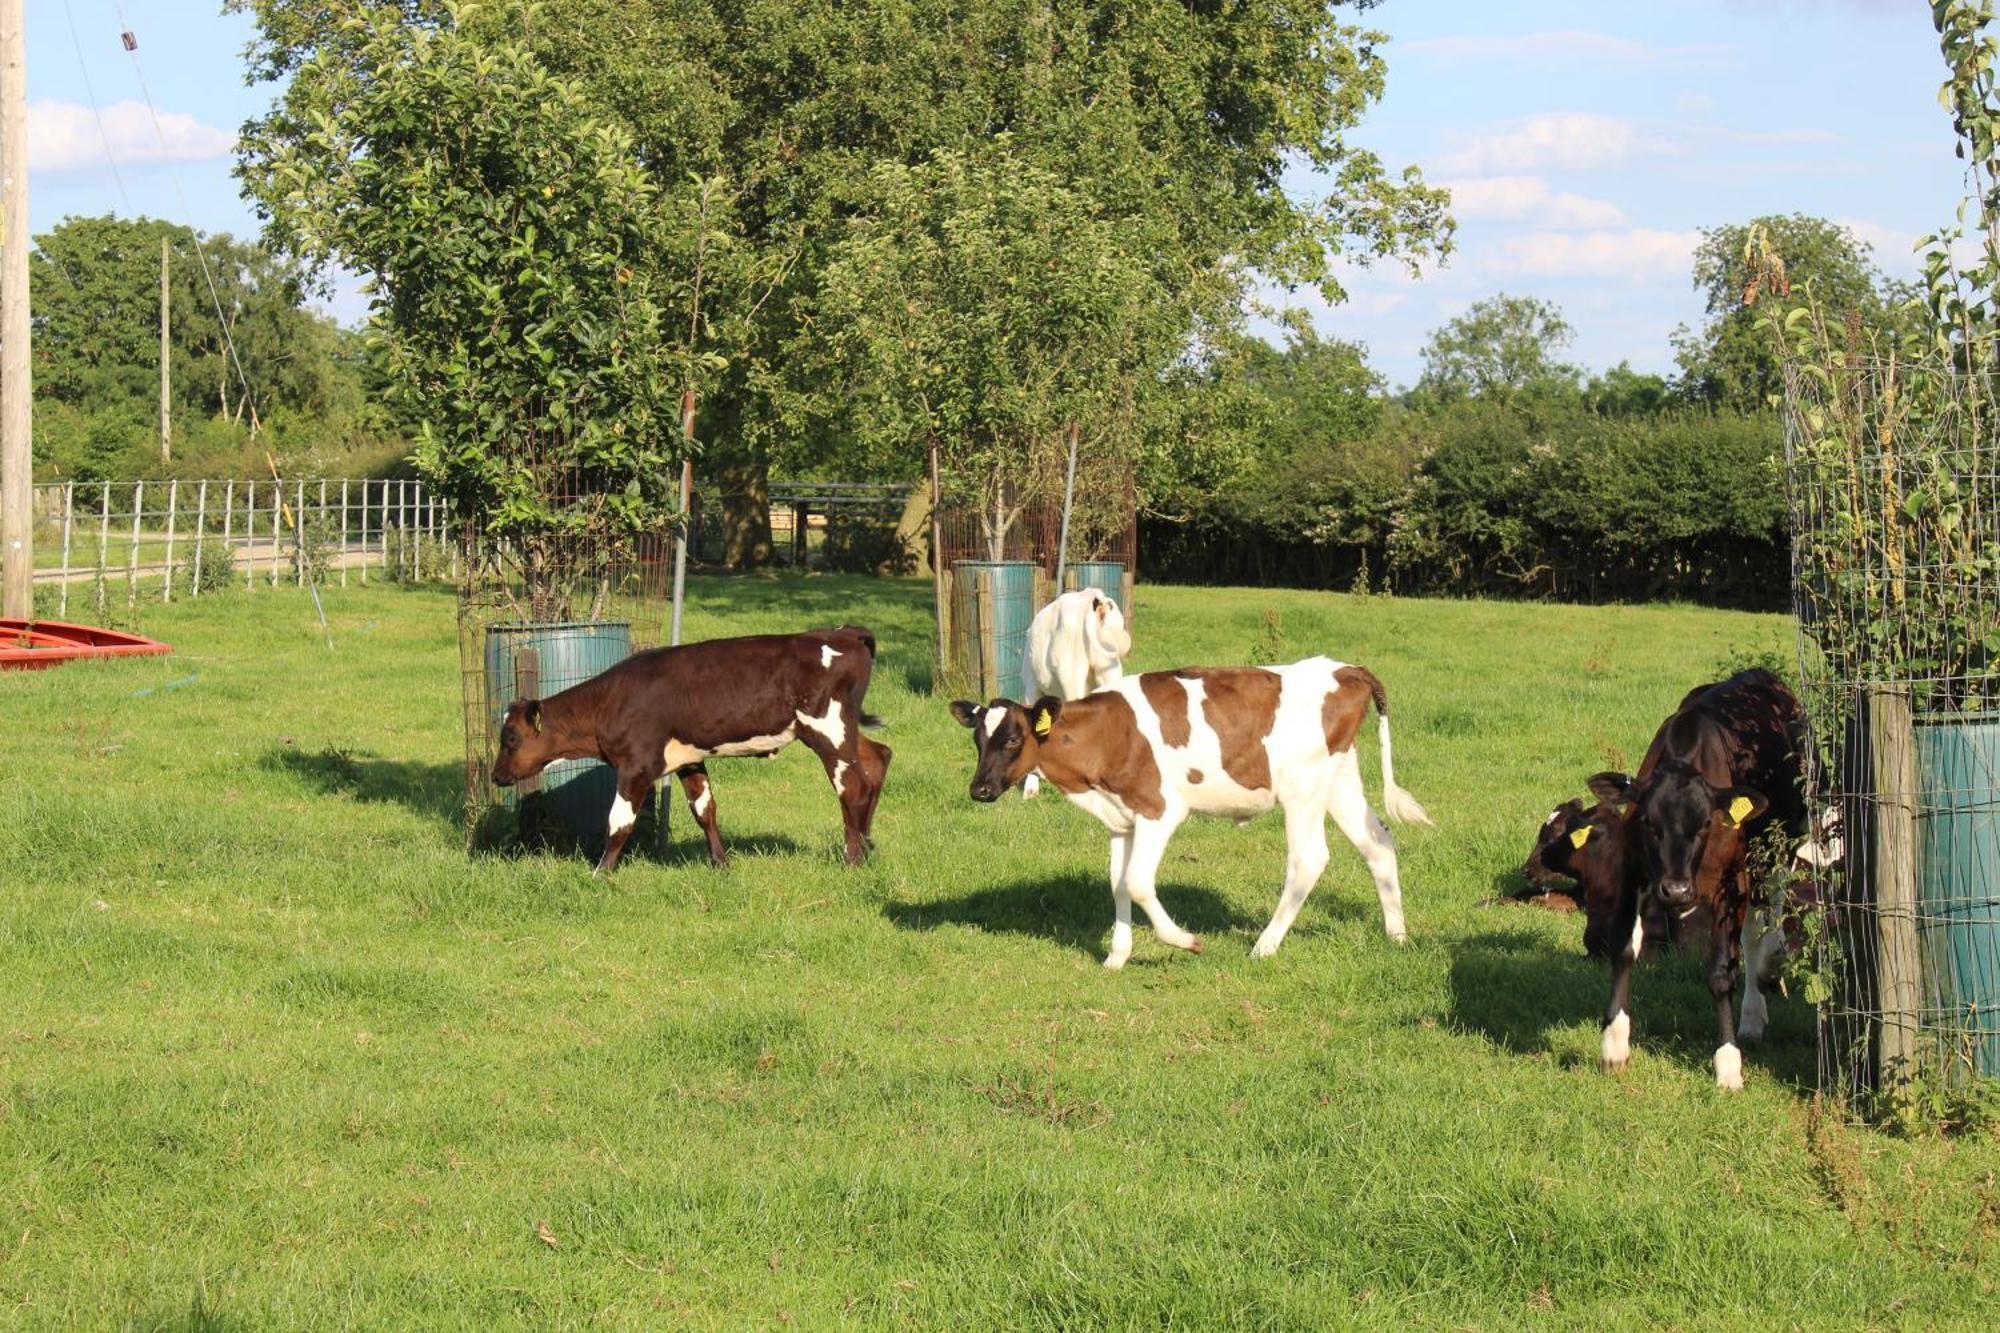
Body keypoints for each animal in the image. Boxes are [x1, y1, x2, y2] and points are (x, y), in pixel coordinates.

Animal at [492, 624, 892, 872]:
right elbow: (705, 810)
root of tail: (842, 633)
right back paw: (868, 844)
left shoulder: (636, 766)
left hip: (827, 730)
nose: (496, 776)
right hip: (843, 728)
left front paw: (600, 873)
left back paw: (851, 858)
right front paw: (721, 864)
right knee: (878, 757)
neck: (613, 700)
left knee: (852, 786)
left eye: (510, 738)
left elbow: (619, 822)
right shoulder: (688, 760)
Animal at [948, 656, 1424, 960]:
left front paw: (1184, 940)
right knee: (1378, 842)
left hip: (1302, 789)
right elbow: (1118, 885)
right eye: (977, 740)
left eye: (1013, 738)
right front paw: (1117, 957)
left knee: (1309, 860)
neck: (1108, 735)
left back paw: (1264, 947)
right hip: (1339, 779)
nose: (979, 789)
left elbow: (1139, 883)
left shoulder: (1158, 810)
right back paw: (1397, 936)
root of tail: (1345, 668)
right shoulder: (1121, 820)